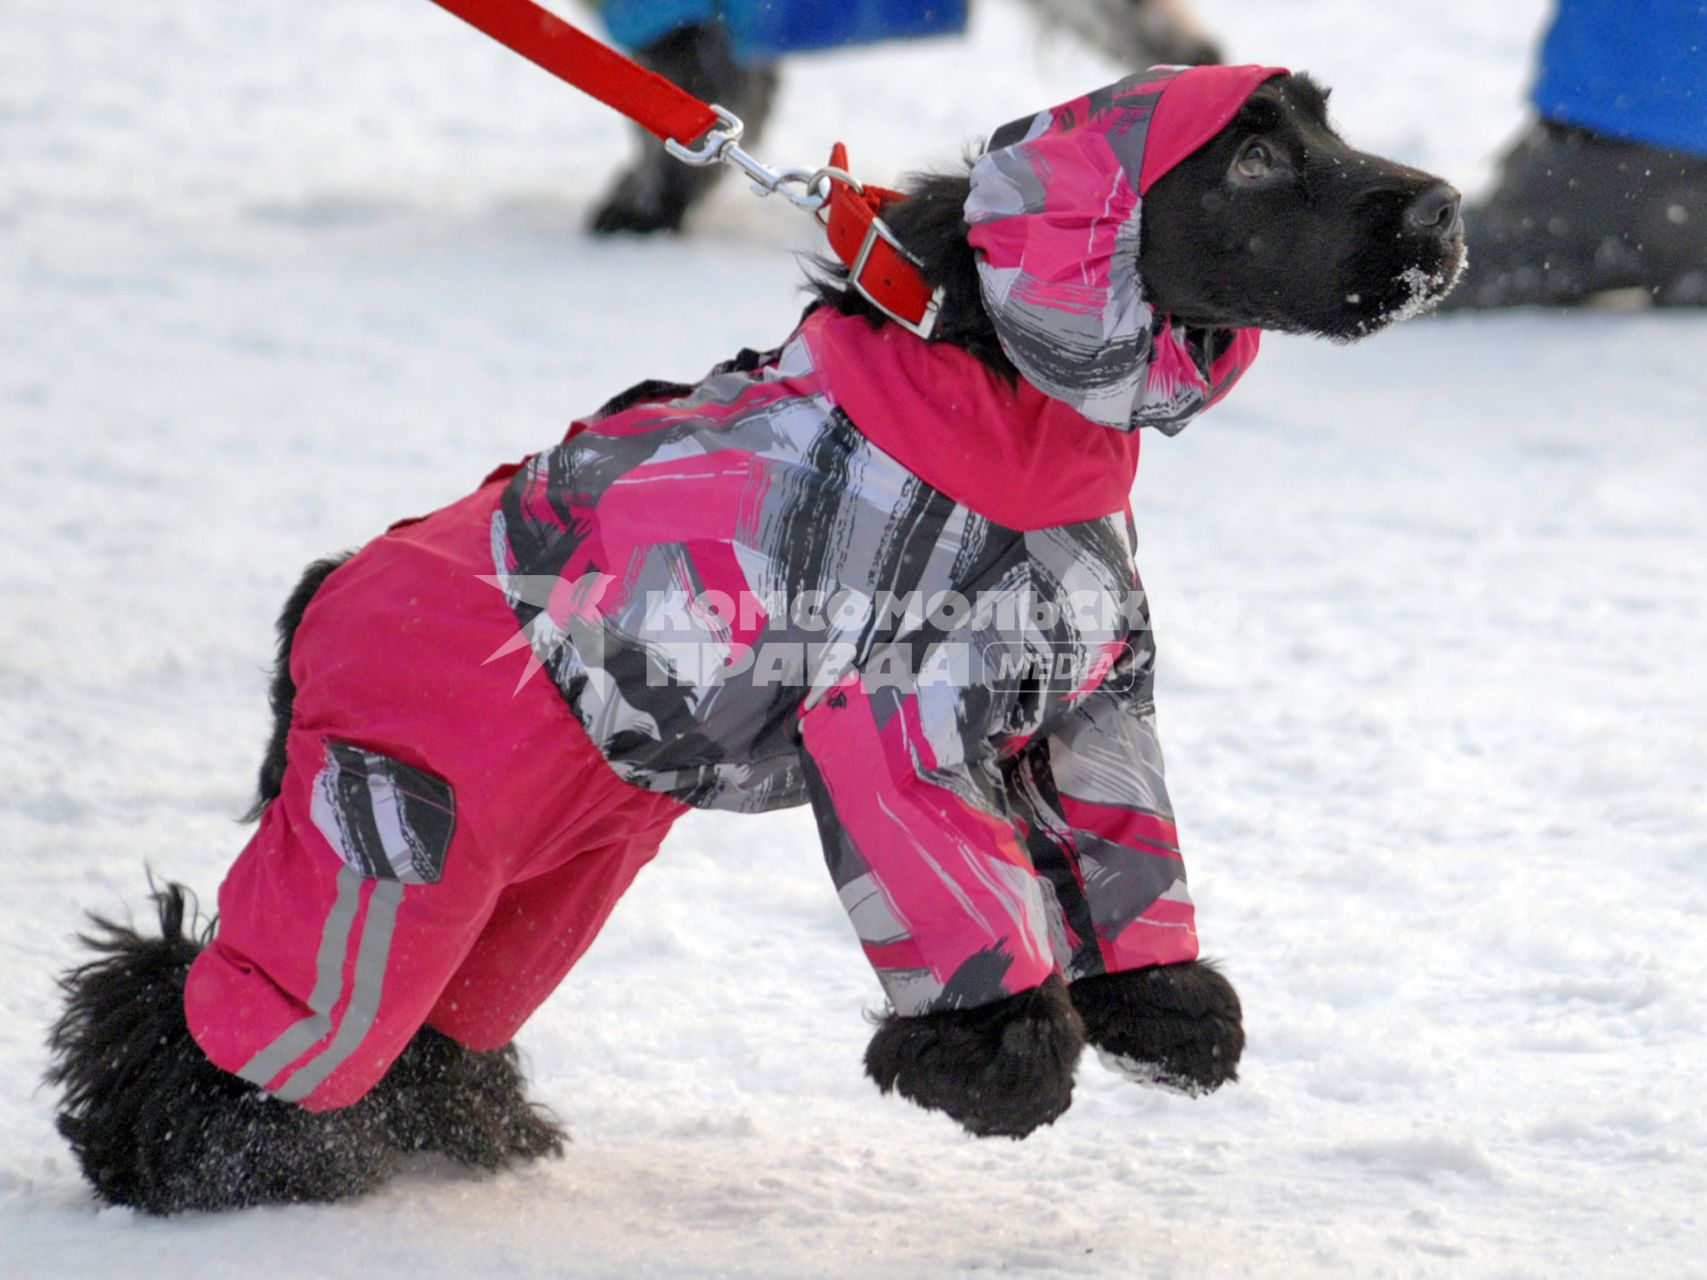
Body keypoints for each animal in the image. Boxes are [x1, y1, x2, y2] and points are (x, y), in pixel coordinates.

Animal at [46, 67, 1461, 1215]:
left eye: (1329, 123)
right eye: (1254, 156)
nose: (1443, 210)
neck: (1006, 411)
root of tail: (319, 600)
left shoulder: (1093, 709)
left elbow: (1124, 863)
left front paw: (1172, 1016)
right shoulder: (893, 715)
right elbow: (964, 892)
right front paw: (1001, 1068)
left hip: (540, 879)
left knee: (440, 1018)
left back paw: (467, 1130)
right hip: (396, 823)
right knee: (234, 1000)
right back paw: (207, 1163)